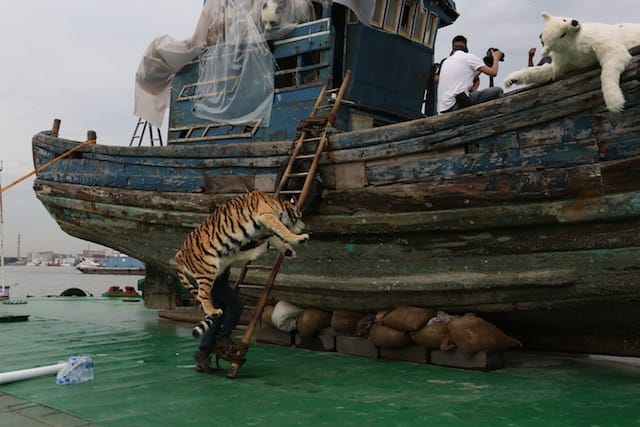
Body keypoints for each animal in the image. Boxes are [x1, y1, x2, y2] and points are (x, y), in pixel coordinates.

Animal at [174, 189, 309, 322]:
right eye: (299, 217)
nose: (304, 227)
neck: (277, 204)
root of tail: (179, 257)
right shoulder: (266, 215)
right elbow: (282, 230)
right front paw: (299, 238)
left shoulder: (263, 230)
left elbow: (276, 238)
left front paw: (288, 251)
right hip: (208, 269)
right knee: (202, 295)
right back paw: (213, 312)